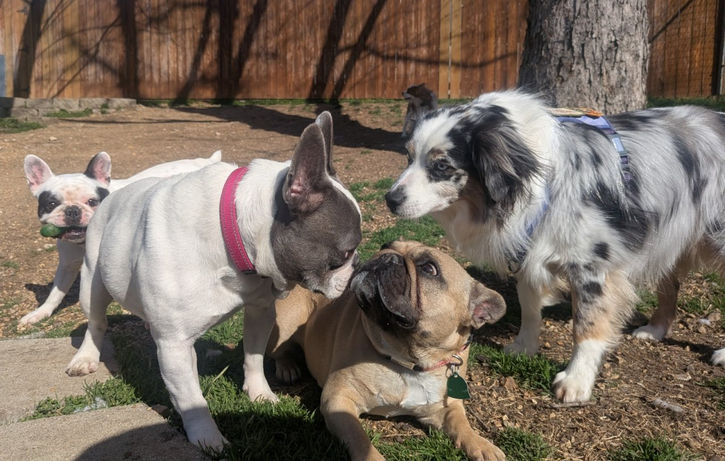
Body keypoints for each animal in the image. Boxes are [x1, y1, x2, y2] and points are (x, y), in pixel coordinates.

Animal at [20, 150, 222, 326]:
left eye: (92, 202)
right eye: (51, 204)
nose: (72, 210)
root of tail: (206, 161)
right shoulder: (67, 264)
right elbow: (56, 292)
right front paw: (41, 312)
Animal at [65, 112, 362, 451]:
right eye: (345, 252)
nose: (358, 267)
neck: (233, 233)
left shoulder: (260, 311)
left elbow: (254, 357)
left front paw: (260, 394)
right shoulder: (175, 345)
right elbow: (191, 398)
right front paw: (208, 438)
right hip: (93, 281)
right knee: (96, 321)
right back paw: (85, 358)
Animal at [269, 240, 506, 461]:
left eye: (429, 268)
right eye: (386, 245)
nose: (386, 255)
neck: (408, 359)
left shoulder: (444, 408)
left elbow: (461, 424)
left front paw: (482, 445)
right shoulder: (338, 399)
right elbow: (359, 437)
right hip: (288, 322)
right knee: (278, 350)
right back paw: (287, 367)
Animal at [385, 90, 725, 403]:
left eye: (442, 165)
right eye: (408, 156)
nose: (390, 199)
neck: (540, 182)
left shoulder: (592, 266)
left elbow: (586, 325)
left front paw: (577, 380)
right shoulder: (526, 251)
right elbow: (529, 306)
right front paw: (524, 346)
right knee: (671, 285)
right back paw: (655, 330)